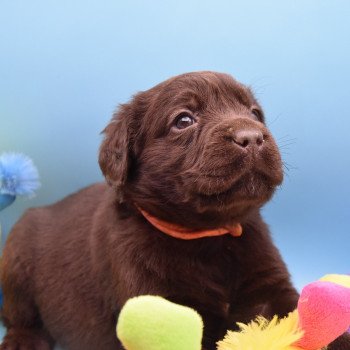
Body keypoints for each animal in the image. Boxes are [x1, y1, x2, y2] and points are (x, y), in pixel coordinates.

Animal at [0, 72, 348, 350]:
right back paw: (22, 341)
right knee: (21, 317)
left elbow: (300, 315)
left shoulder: (269, 287)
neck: (209, 236)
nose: (252, 136)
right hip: (16, 256)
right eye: (183, 120)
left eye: (255, 113)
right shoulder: (157, 304)